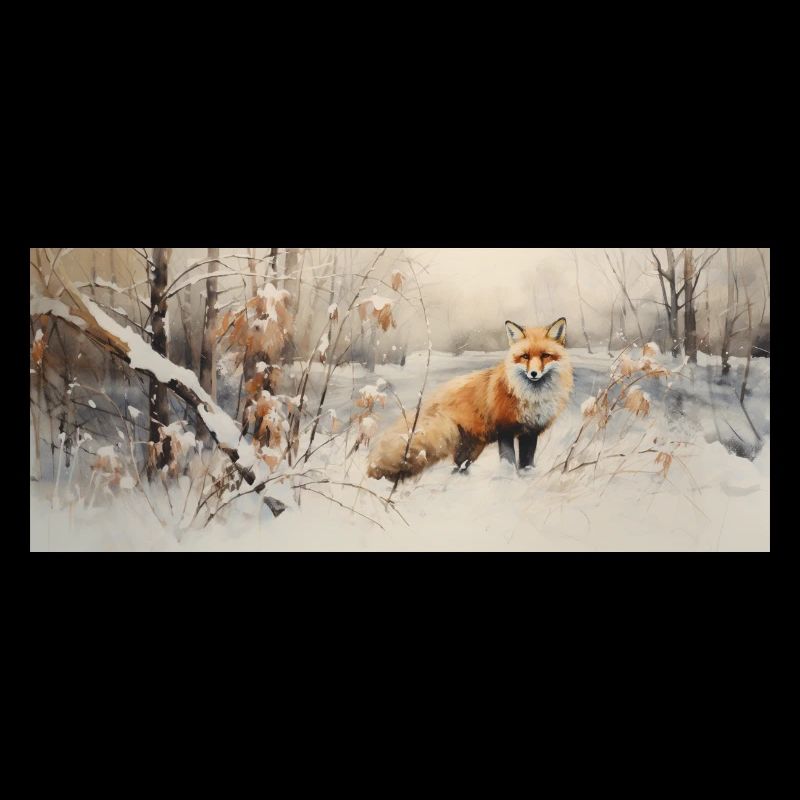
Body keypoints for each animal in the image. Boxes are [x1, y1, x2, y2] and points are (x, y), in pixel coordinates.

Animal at [367, 317, 574, 481]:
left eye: (545, 356)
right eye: (525, 356)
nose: (533, 374)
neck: (532, 398)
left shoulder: (530, 432)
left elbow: (527, 463)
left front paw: (527, 477)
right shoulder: (505, 429)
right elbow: (508, 461)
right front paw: (508, 480)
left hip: (471, 448)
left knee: (458, 466)